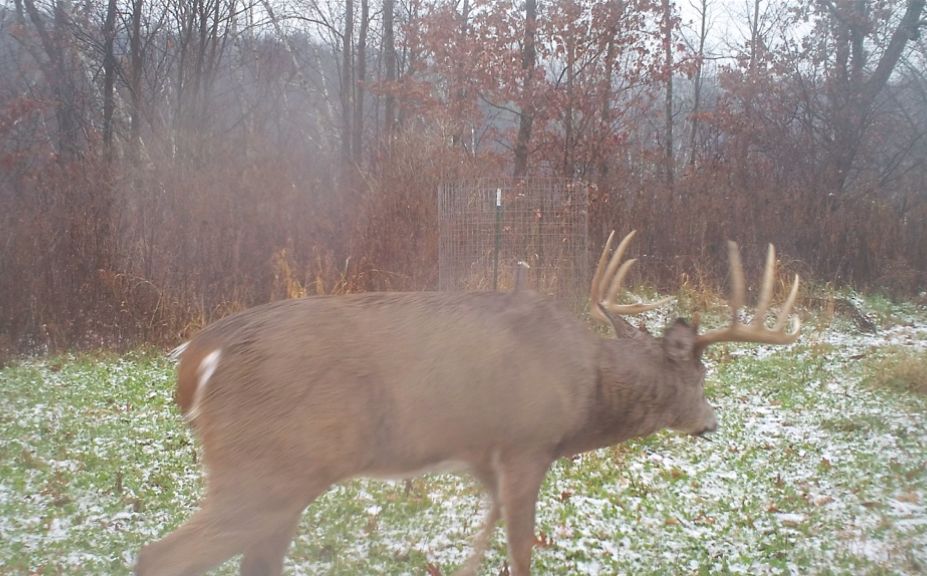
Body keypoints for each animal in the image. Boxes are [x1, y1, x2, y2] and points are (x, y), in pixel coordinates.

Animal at [134, 231, 800, 576]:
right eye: (701, 376)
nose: (712, 422)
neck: (585, 389)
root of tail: (198, 358)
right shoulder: (529, 444)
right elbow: (520, 549)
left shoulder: (485, 457)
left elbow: (484, 539)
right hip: (266, 470)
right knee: (159, 555)